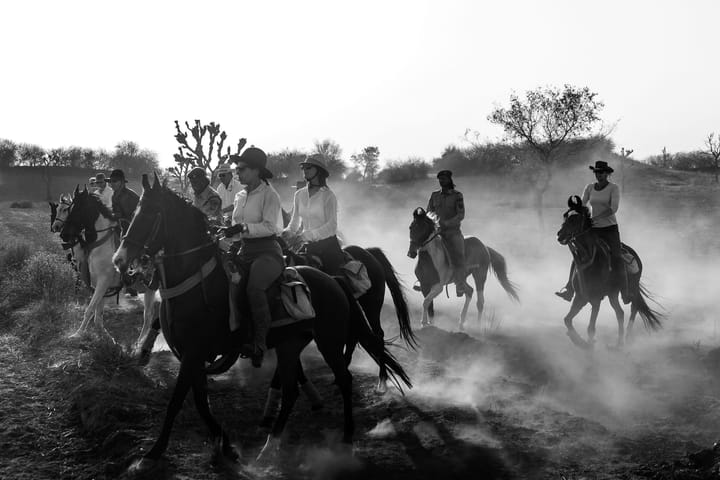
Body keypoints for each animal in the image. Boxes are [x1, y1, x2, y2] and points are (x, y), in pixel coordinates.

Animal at [51, 188, 160, 352]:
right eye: (68, 210)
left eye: (74, 209)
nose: (63, 233)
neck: (101, 243)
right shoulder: (99, 284)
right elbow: (98, 315)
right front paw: (108, 339)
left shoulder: (103, 282)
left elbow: (90, 309)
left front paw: (77, 334)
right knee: (148, 316)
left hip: (152, 287)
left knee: (148, 316)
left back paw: (139, 344)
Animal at [556, 195, 664, 348]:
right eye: (565, 216)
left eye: (575, 219)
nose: (560, 235)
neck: (590, 259)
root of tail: (634, 254)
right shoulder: (580, 297)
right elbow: (567, 320)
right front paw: (579, 341)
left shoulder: (595, 299)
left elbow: (590, 328)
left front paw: (587, 345)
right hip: (613, 294)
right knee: (620, 313)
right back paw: (618, 343)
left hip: (631, 289)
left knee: (634, 307)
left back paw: (628, 337)